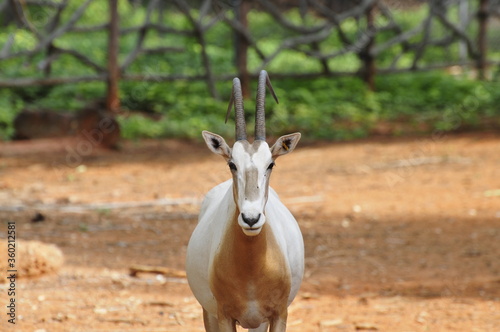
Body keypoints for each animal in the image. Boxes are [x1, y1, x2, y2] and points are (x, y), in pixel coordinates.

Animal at [187, 70, 304, 332]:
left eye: (270, 164)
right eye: (232, 164)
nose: (251, 219)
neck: (252, 270)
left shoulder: (279, 314)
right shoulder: (223, 316)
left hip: (257, 322)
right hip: (209, 313)